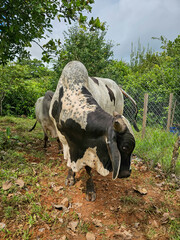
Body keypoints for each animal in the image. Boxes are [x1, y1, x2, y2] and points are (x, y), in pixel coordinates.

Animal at [49, 61, 135, 201]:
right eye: (125, 147)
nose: (127, 173)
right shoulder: (65, 140)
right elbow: (69, 163)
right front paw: (70, 177)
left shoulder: (90, 148)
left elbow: (88, 169)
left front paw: (90, 190)